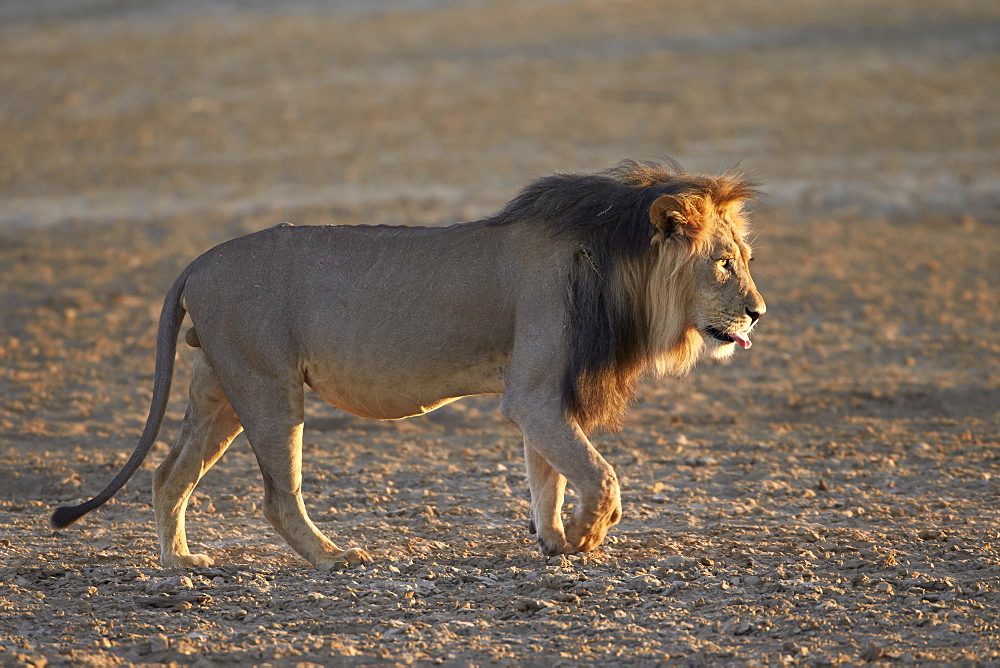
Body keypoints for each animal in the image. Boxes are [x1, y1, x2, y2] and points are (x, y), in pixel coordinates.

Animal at [52, 162, 764, 568]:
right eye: (724, 263)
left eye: (746, 259)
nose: (758, 313)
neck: (616, 260)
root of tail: (196, 261)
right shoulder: (533, 393)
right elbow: (597, 473)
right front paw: (589, 535)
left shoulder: (547, 394)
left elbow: (549, 475)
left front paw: (556, 542)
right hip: (266, 385)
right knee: (277, 496)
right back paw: (335, 558)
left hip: (218, 389)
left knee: (168, 473)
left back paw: (181, 564)